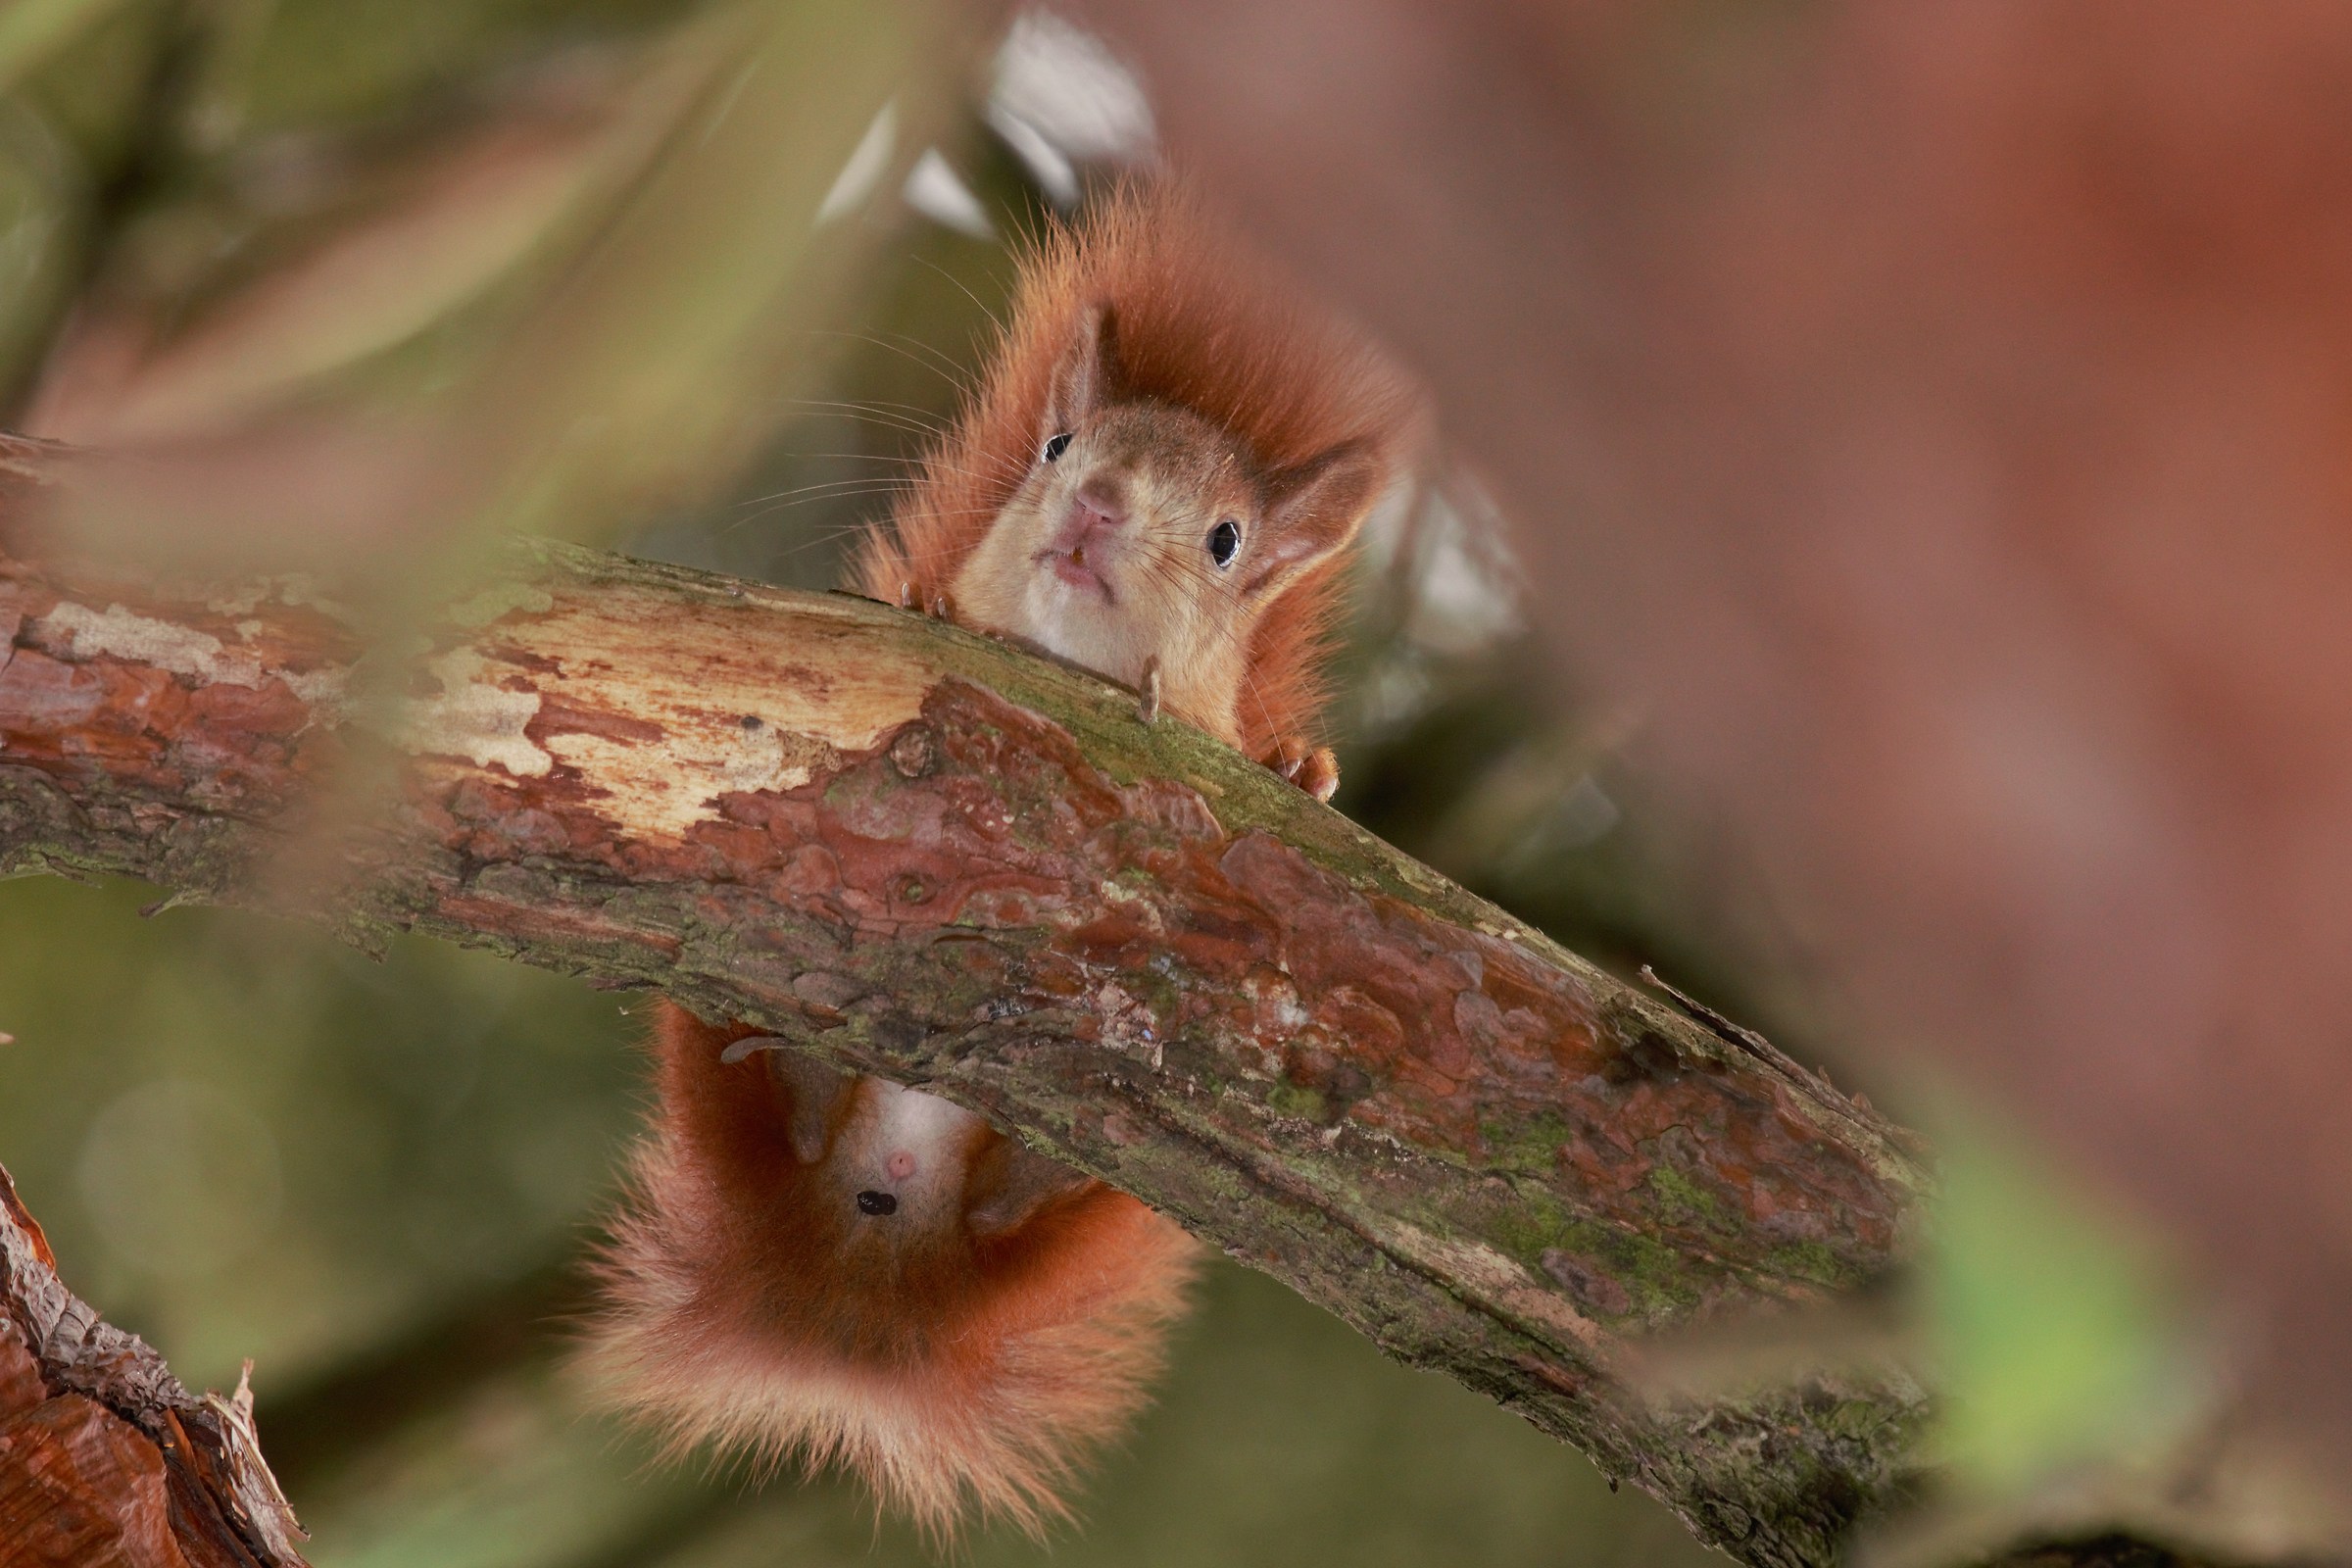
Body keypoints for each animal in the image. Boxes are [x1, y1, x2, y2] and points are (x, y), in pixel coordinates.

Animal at [581, 179, 1418, 1539]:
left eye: (1227, 539)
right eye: (1059, 448)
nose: (1098, 506)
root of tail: (869, 1265)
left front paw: (1300, 768)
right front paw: (927, 597)